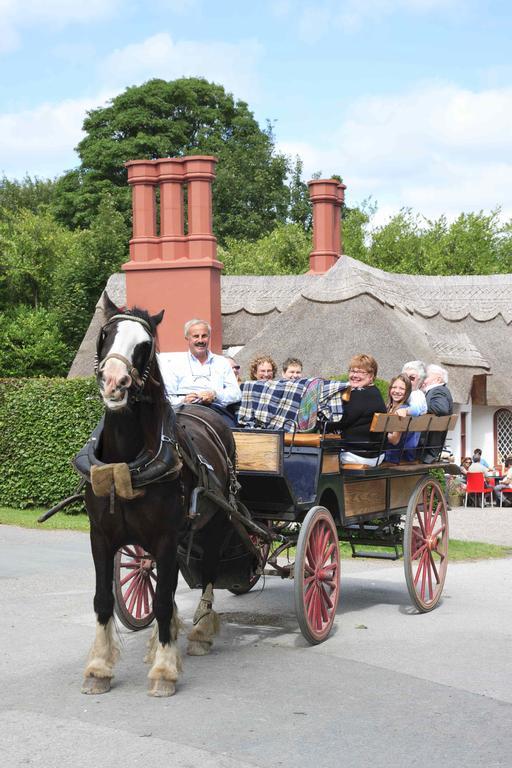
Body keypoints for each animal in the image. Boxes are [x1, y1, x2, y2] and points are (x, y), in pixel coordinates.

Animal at [80, 298, 238, 696]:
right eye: (105, 334)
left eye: (146, 344)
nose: (114, 382)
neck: (127, 459)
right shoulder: (100, 536)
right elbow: (104, 599)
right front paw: (99, 668)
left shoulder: (166, 537)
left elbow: (164, 601)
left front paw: (165, 670)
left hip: (215, 524)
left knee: (207, 574)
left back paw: (200, 631)